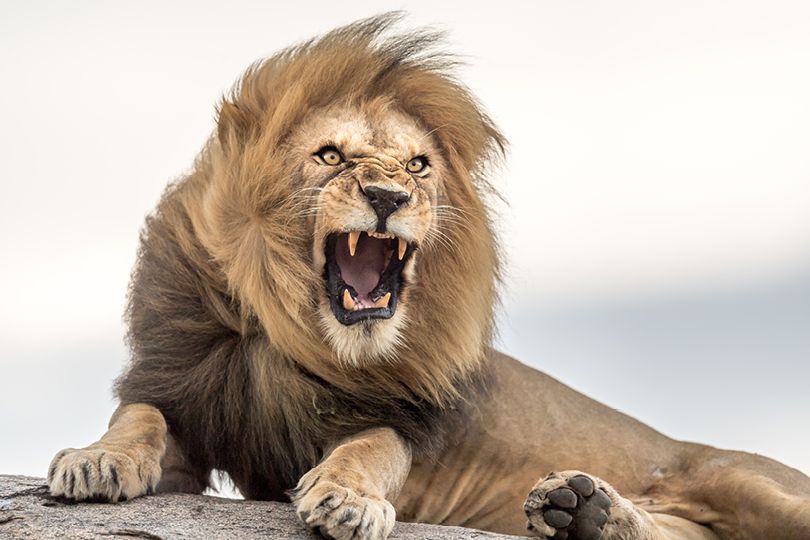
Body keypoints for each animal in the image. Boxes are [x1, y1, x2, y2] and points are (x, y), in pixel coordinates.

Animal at [47, 14, 810, 540]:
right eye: (330, 156)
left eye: (417, 165)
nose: (388, 196)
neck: (291, 333)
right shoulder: (188, 400)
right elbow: (139, 417)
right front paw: (96, 460)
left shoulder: (398, 422)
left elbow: (370, 449)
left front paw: (348, 500)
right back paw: (584, 510)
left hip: (748, 484)